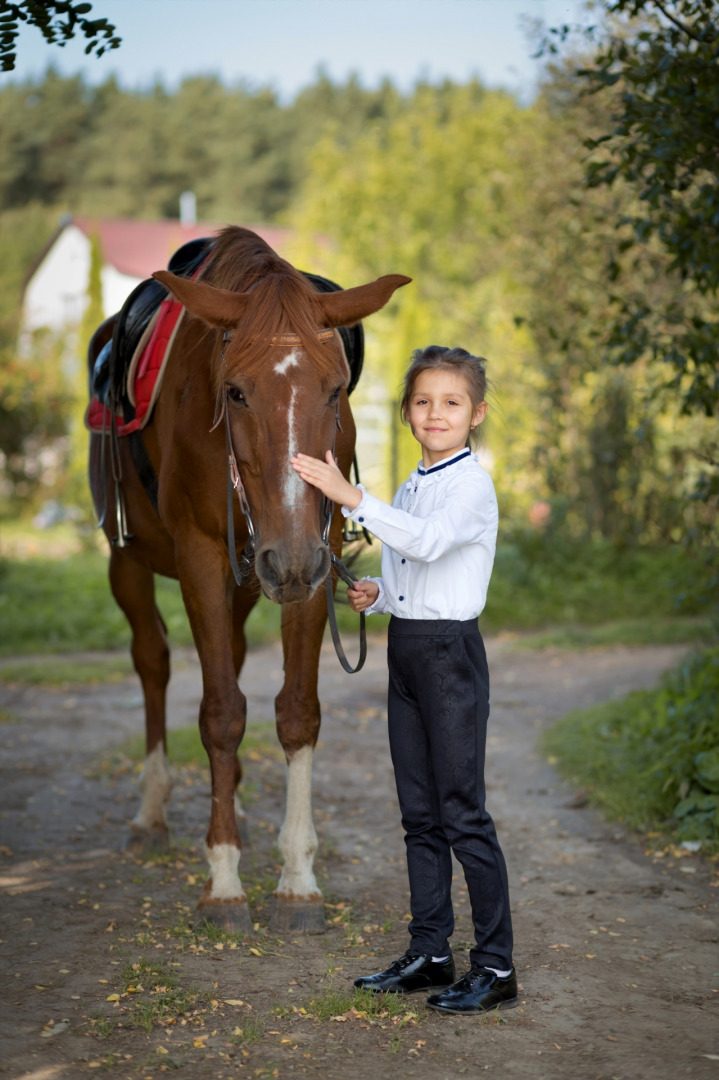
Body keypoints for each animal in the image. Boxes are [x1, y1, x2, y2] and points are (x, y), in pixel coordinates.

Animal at [87, 225, 408, 928]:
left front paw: (298, 878)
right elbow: (219, 714)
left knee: (229, 655)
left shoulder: (310, 558)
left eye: (335, 390)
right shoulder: (204, 557)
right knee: (153, 660)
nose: (287, 561)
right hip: (130, 560)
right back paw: (153, 811)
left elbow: (296, 713)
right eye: (234, 391)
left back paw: (228, 798)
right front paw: (224, 879)